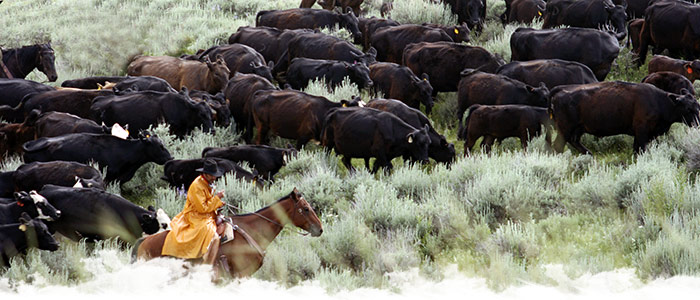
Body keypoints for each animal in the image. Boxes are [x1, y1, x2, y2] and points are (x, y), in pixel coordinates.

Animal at [552, 81, 700, 154]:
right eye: (688, 108)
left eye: (698, 106)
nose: (697, 124)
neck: (660, 101)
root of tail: (560, 90)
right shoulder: (642, 132)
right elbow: (641, 150)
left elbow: (636, 149)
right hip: (565, 129)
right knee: (557, 146)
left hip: (578, 129)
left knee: (573, 141)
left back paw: (589, 154)